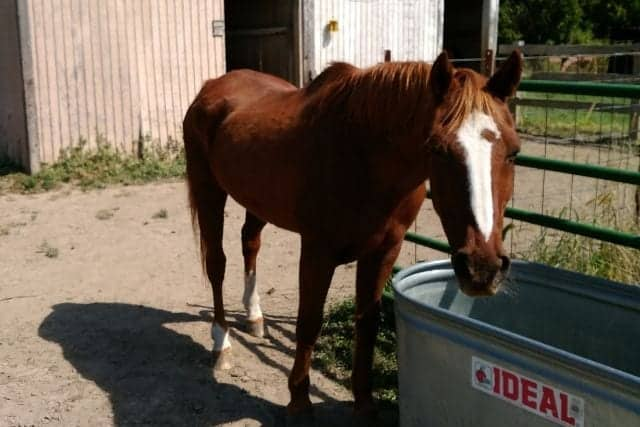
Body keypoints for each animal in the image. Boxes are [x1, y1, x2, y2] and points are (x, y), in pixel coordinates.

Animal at [182, 50, 523, 418]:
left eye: (514, 152)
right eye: (437, 149)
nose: (482, 269)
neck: (362, 153)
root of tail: (211, 87)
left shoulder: (384, 250)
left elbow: (368, 323)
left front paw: (364, 403)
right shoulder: (318, 251)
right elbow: (309, 323)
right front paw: (299, 402)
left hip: (256, 200)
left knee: (250, 243)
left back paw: (254, 316)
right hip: (208, 190)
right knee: (217, 264)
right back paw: (222, 343)